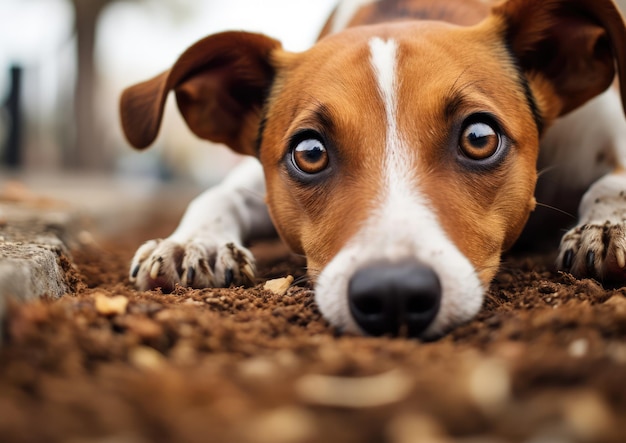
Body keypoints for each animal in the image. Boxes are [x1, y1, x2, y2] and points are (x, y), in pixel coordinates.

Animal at [118, 0, 624, 338]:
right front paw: (192, 242)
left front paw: (606, 225)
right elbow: (217, 194)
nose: (394, 293)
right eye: (309, 152)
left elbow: (610, 183)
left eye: (479, 138)